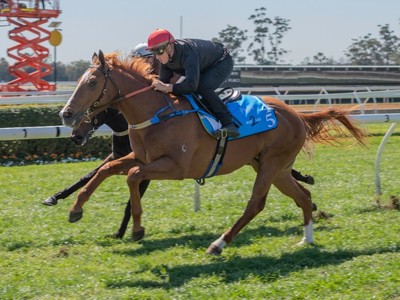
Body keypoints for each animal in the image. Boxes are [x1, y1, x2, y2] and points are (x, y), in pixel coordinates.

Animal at [42, 106, 150, 238]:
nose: (75, 137)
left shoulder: (145, 172)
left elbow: (130, 204)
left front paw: (120, 233)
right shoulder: (114, 157)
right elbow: (88, 177)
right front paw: (54, 197)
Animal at [57, 51, 368, 255]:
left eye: (92, 82)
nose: (66, 115)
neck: (156, 114)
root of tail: (298, 115)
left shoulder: (177, 167)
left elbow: (132, 176)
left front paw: (136, 229)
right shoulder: (142, 158)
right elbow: (105, 170)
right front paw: (75, 209)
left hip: (271, 164)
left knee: (256, 204)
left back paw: (219, 243)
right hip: (273, 167)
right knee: (303, 196)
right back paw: (307, 240)